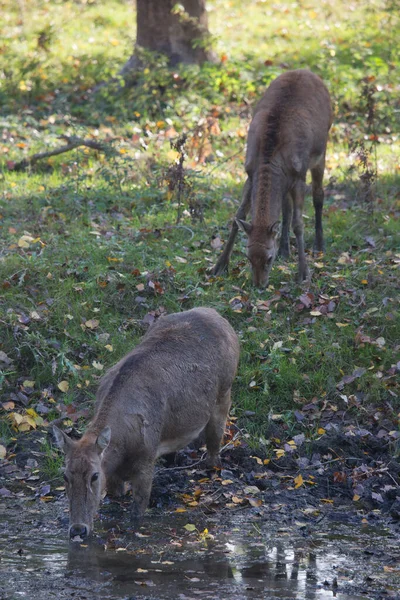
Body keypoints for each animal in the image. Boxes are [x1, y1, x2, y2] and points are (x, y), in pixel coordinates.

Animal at [212, 69, 332, 288]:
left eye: (269, 258)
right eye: (248, 256)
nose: (259, 285)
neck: (270, 157)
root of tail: (308, 72)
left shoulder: (299, 175)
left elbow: (298, 224)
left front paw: (304, 273)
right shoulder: (250, 173)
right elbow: (238, 215)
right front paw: (219, 266)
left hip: (322, 151)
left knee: (319, 195)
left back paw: (319, 246)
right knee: (286, 206)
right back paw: (285, 248)